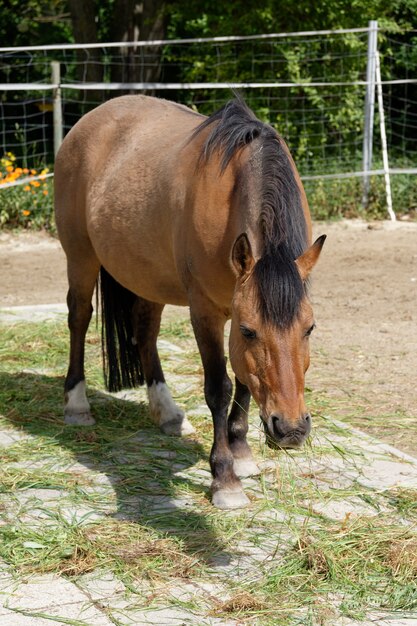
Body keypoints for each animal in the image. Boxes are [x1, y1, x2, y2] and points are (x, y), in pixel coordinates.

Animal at [53, 95, 324, 510]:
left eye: (309, 328)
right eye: (250, 331)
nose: (291, 429)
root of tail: (89, 120)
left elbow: (245, 380)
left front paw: (242, 453)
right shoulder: (208, 313)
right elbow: (219, 387)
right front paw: (225, 478)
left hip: (148, 277)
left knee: (145, 330)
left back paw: (167, 412)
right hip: (80, 257)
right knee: (79, 319)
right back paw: (77, 405)